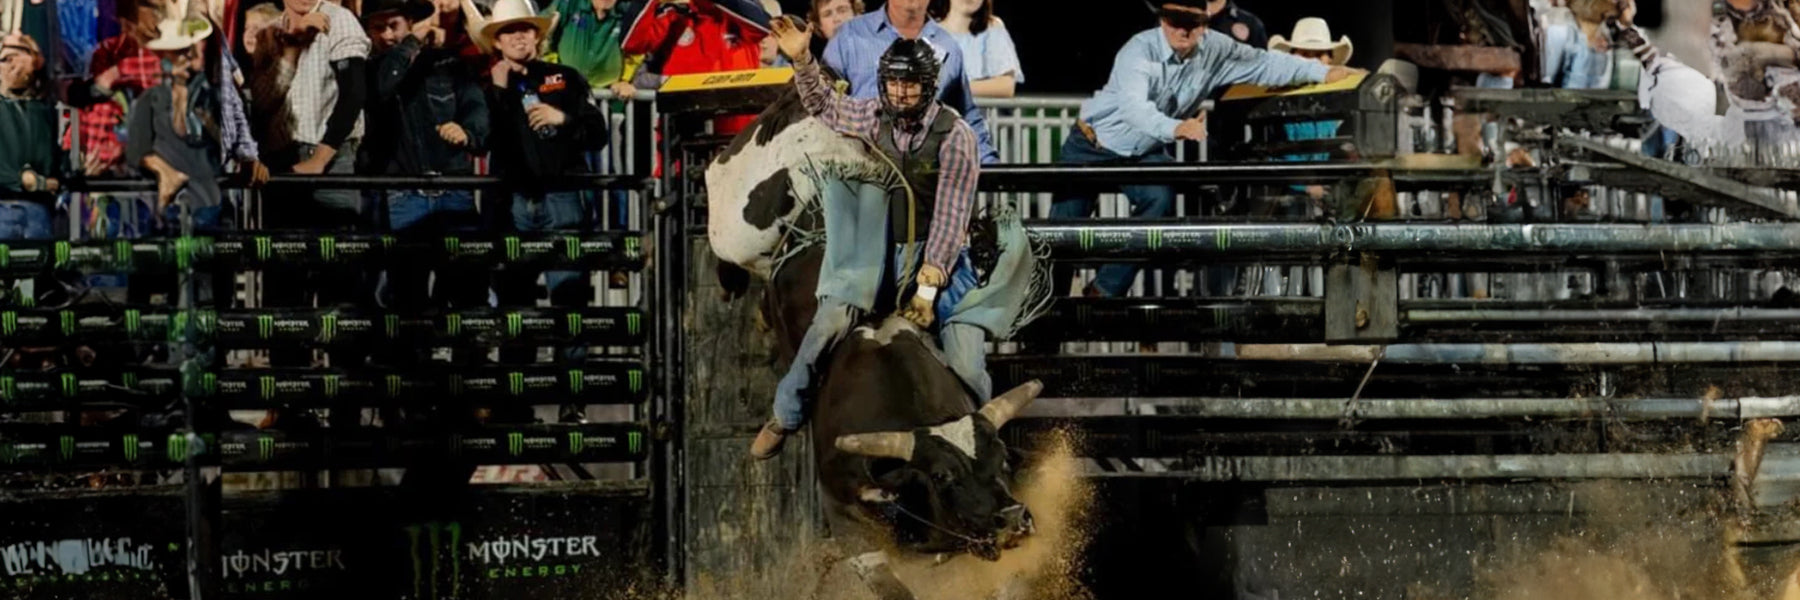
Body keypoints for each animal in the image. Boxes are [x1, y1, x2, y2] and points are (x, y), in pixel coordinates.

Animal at [704, 83, 1046, 598]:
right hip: (739, 215)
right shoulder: (849, 524)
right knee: (729, 233)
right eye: (943, 475)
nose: (1011, 517)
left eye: (1003, 459)